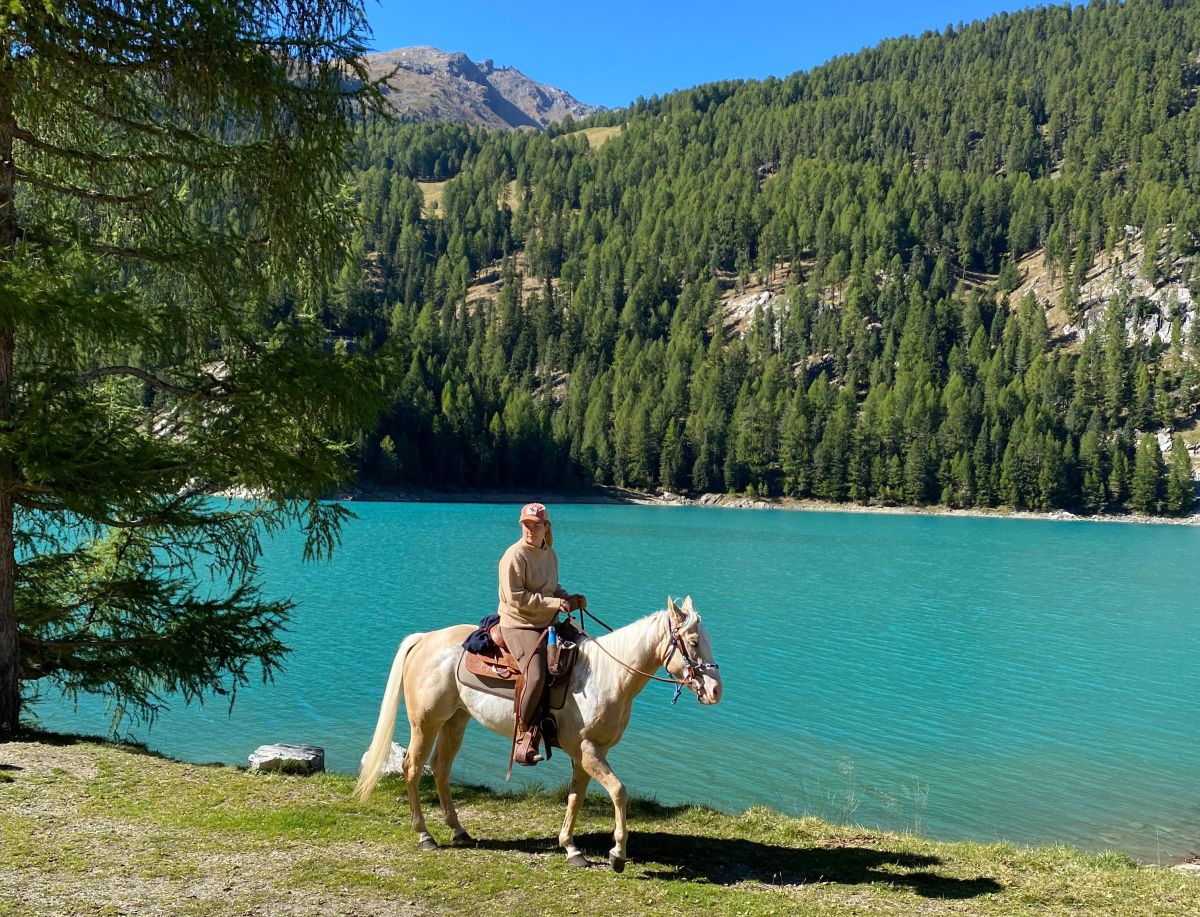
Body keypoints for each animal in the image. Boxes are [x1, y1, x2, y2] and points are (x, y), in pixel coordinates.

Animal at [354, 595, 723, 872]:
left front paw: (571, 848)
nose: (715, 690)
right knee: (413, 769)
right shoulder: (588, 750)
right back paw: (425, 835)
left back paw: (459, 831)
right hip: (426, 723)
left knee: (441, 770)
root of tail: (424, 639)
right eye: (692, 641)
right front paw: (617, 854)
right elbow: (619, 792)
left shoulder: (587, 753)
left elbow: (576, 797)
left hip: (455, 721)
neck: (607, 675)